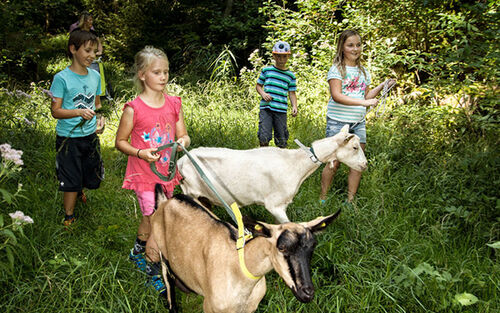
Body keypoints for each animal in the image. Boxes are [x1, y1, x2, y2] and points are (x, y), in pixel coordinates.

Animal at [178, 124, 366, 222]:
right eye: (354, 147)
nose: (365, 165)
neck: (296, 163)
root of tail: (181, 160)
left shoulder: (281, 205)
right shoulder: (275, 204)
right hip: (192, 192)